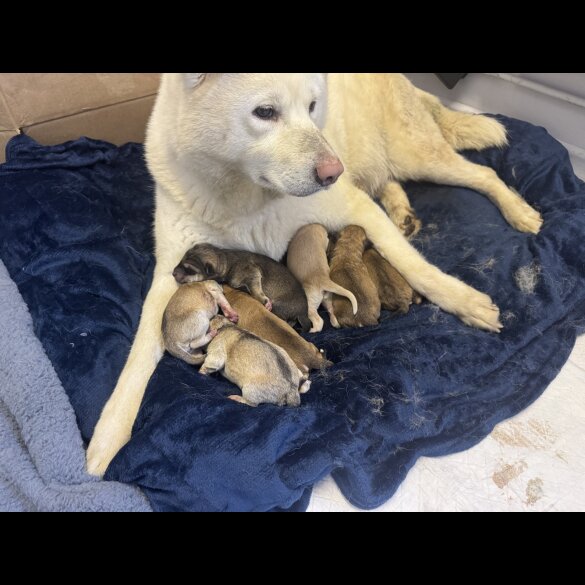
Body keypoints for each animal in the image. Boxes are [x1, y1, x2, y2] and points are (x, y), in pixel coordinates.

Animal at [172, 243, 310, 330]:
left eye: (189, 269)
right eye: (181, 260)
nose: (173, 273)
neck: (225, 261)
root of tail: (304, 312)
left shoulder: (252, 272)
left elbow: (255, 289)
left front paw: (264, 300)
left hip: (279, 306)